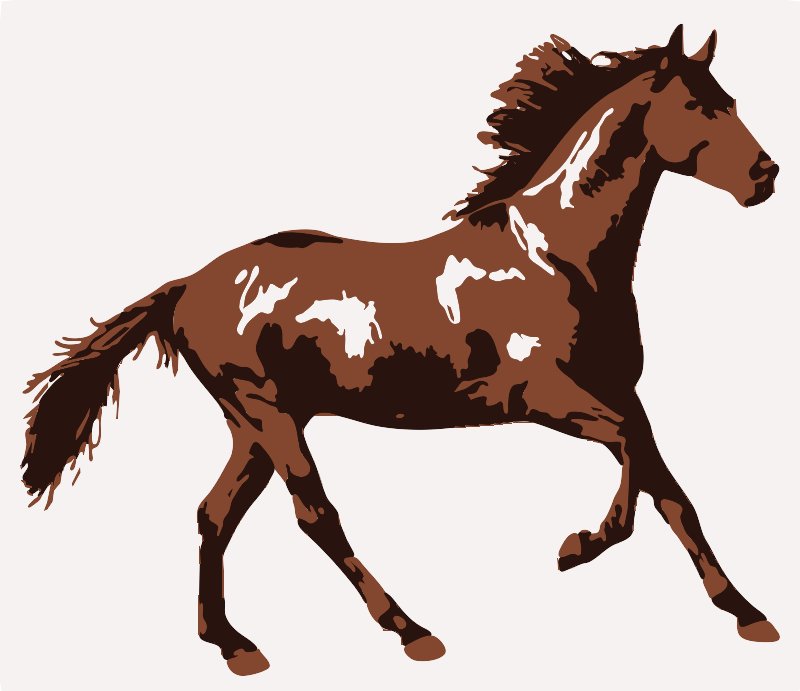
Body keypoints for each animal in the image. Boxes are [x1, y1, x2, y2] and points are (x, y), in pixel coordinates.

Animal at [21, 25, 781, 676]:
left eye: (732, 100)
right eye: (696, 105)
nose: (766, 175)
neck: (557, 257)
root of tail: (187, 285)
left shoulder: (622, 393)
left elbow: (670, 489)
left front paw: (747, 613)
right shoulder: (547, 398)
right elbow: (632, 468)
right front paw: (576, 547)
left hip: (254, 424)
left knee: (215, 513)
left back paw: (233, 644)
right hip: (268, 413)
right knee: (314, 515)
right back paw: (411, 630)